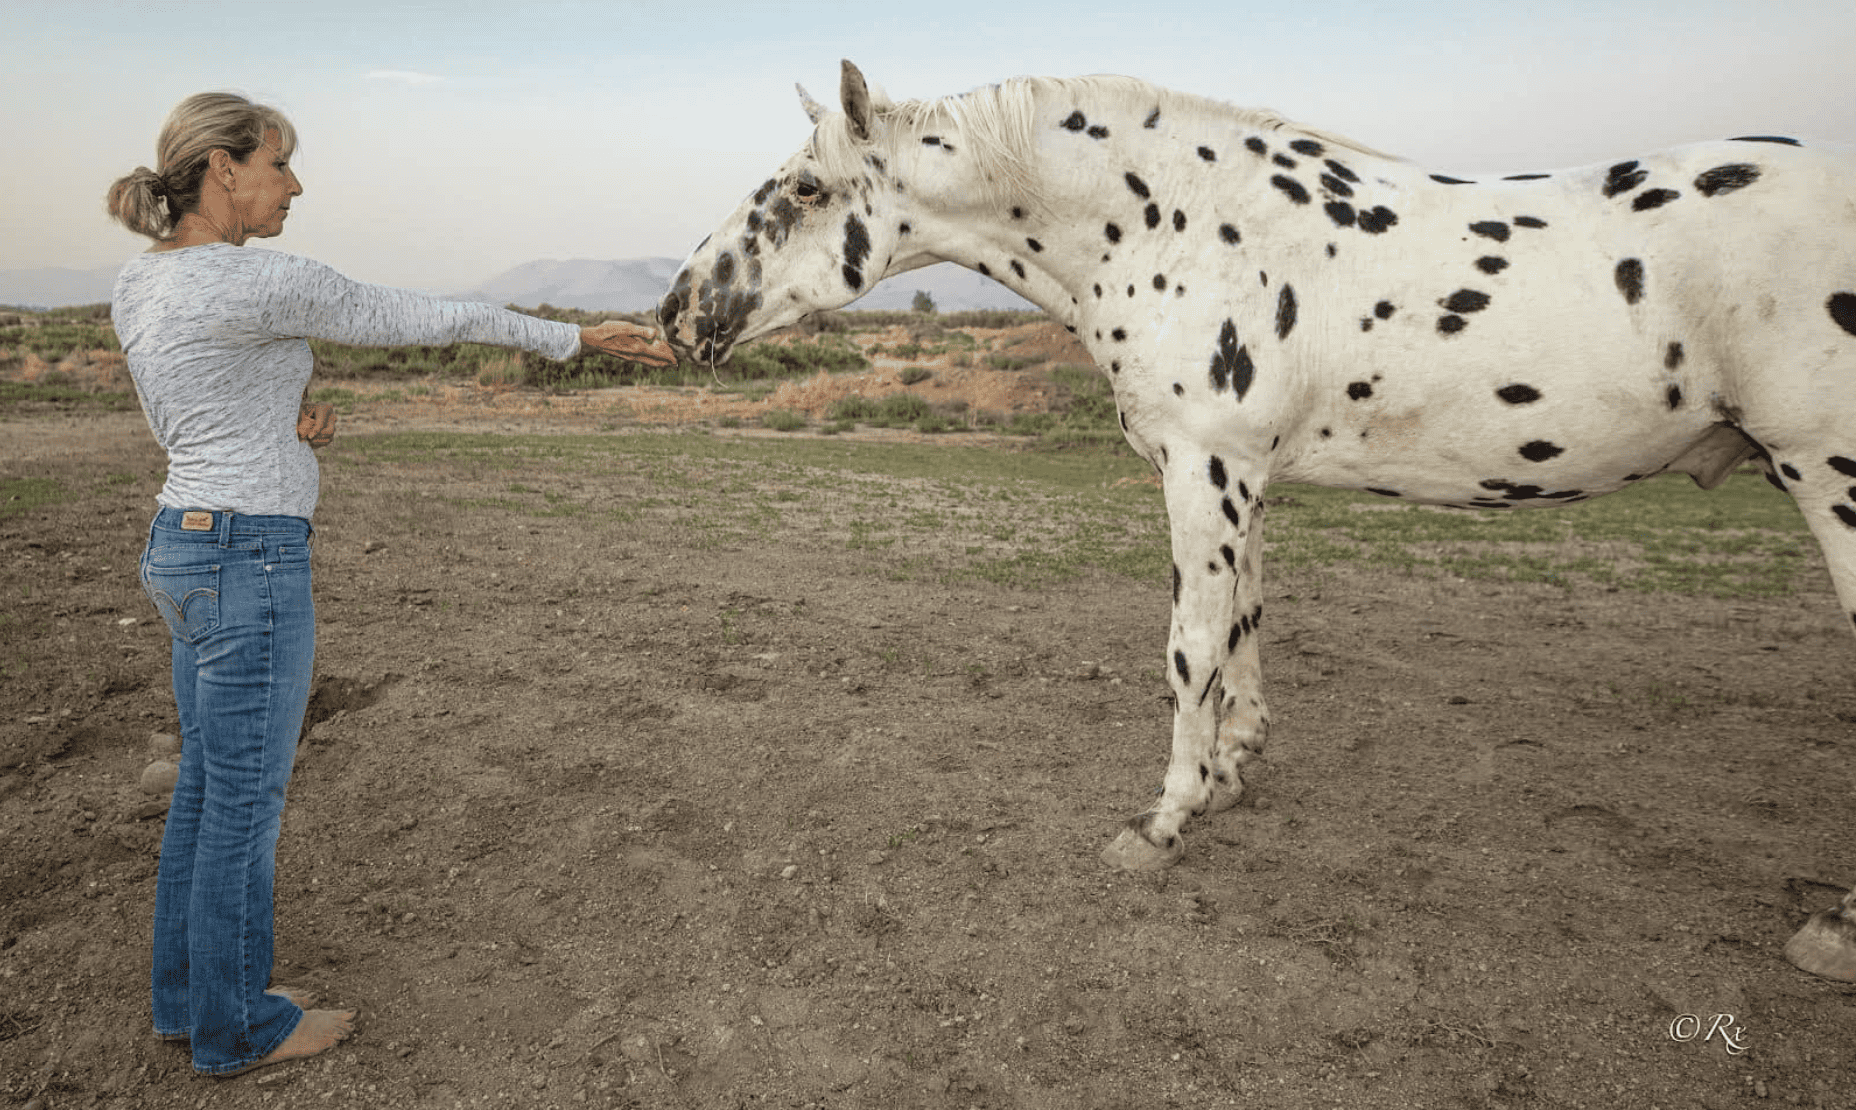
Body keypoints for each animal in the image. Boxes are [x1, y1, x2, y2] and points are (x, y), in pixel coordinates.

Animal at [655, 60, 1856, 982]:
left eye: (805, 187)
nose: (675, 313)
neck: (1175, 225)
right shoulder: (1241, 477)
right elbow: (1244, 626)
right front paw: (1231, 773)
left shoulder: (1205, 467)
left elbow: (1191, 646)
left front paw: (1161, 822)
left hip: (1829, 478)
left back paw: (1832, 932)